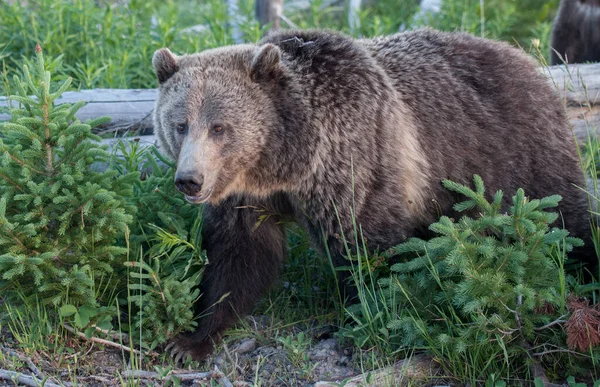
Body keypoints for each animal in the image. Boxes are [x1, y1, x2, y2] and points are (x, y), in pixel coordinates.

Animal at [150, 28, 592, 364]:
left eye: (219, 127)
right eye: (180, 124)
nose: (189, 180)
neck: (284, 165)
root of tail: (527, 60)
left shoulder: (355, 159)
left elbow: (368, 250)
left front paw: (373, 318)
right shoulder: (244, 197)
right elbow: (238, 258)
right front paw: (188, 340)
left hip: (516, 153)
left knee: (565, 218)